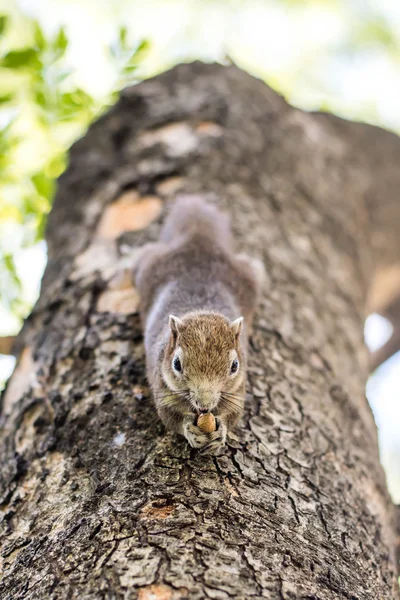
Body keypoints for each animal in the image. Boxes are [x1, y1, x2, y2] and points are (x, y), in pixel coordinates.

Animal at [134, 197, 262, 454]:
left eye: (234, 366)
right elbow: (170, 416)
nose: (204, 405)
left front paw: (221, 431)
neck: (201, 311)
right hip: (149, 264)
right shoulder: (162, 388)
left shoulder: (237, 391)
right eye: (176, 364)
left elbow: (233, 415)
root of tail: (198, 239)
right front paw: (190, 430)